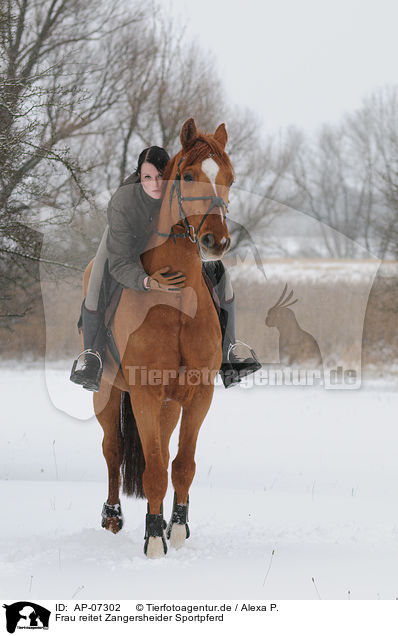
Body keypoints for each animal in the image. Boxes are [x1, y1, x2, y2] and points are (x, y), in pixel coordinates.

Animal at [84, 118, 233, 556]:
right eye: (188, 176)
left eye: (229, 178)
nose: (216, 241)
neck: (177, 305)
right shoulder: (145, 394)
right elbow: (151, 469)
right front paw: (153, 540)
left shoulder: (198, 394)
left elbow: (180, 465)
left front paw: (177, 530)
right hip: (108, 393)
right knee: (113, 450)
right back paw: (112, 516)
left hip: (169, 404)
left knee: (163, 453)